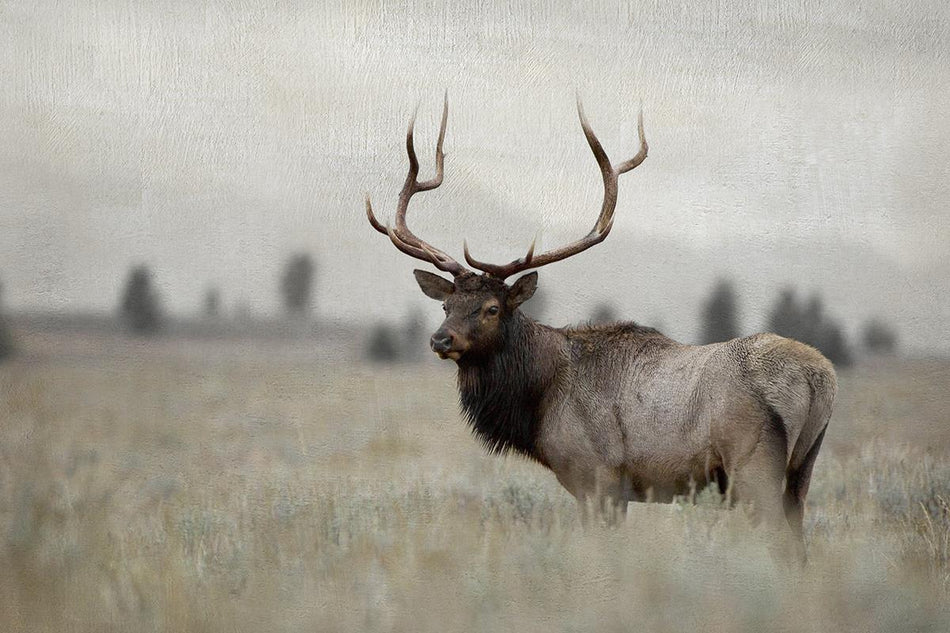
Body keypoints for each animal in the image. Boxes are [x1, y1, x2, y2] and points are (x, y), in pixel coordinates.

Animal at [365, 95, 837, 559]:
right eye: (446, 304)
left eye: (492, 308)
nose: (440, 339)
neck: (540, 398)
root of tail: (819, 378)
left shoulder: (596, 476)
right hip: (802, 470)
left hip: (754, 465)